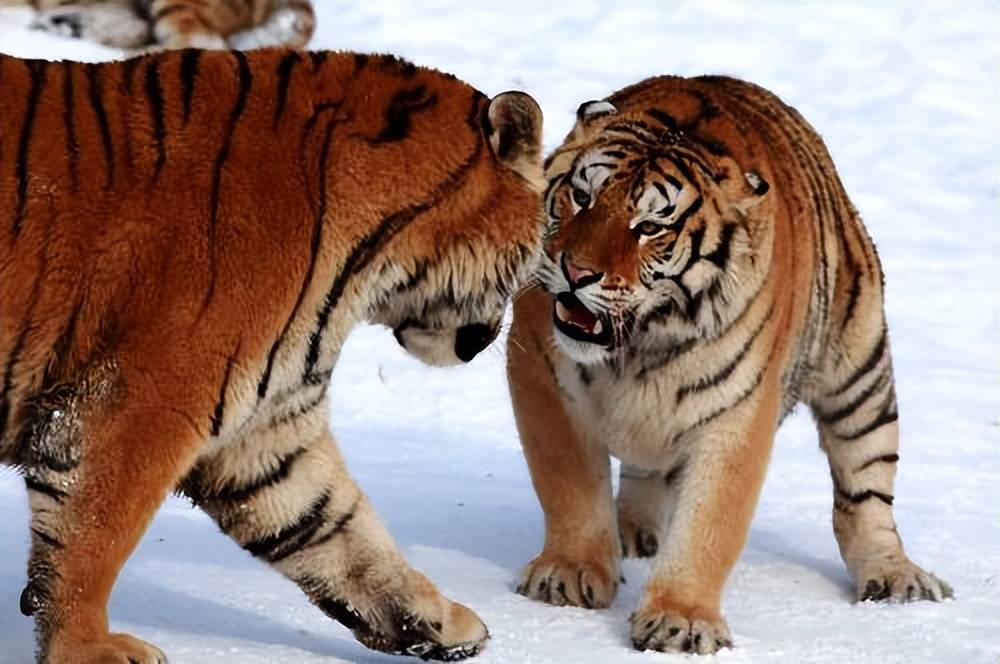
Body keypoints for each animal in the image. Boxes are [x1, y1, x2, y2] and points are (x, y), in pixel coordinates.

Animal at [0, 47, 544, 663]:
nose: (489, 338)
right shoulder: (133, 405)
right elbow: (94, 536)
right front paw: (86, 649)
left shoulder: (267, 429)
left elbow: (340, 530)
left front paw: (439, 624)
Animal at [506, 75, 952, 655]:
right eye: (581, 197)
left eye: (649, 227)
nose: (576, 271)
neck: (641, 345)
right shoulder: (542, 372)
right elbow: (571, 485)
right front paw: (570, 573)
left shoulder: (736, 413)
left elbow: (710, 523)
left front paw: (680, 619)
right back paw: (632, 532)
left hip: (860, 375)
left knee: (866, 491)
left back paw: (898, 578)